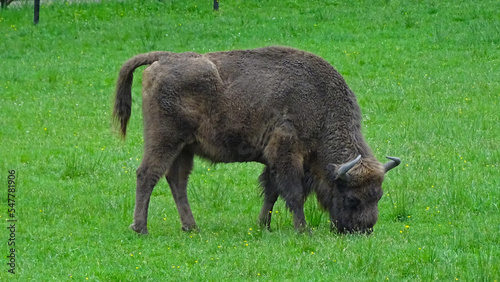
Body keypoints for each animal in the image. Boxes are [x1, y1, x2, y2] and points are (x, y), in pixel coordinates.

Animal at [113, 46, 398, 236]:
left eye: (379, 196)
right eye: (352, 199)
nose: (363, 230)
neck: (320, 104)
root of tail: (163, 58)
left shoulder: (274, 160)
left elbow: (271, 192)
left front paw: (264, 225)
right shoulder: (287, 153)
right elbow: (293, 193)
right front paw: (303, 229)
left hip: (184, 148)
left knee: (177, 181)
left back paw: (191, 227)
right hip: (165, 141)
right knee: (147, 175)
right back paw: (141, 228)